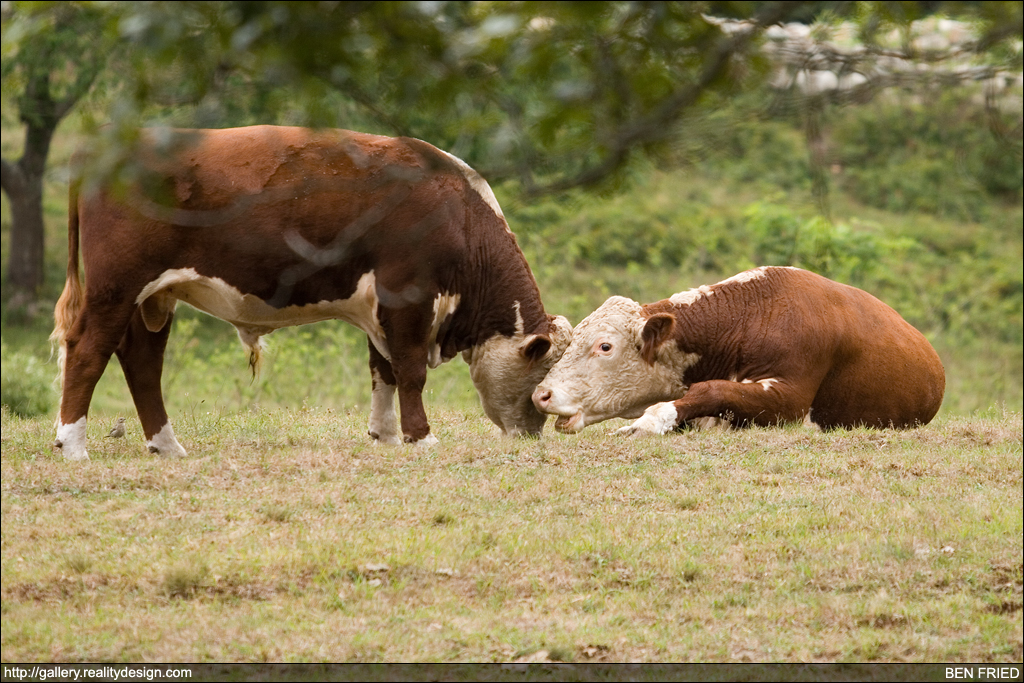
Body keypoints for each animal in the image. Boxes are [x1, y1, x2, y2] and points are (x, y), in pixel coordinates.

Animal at [51, 125, 573, 462]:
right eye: (539, 378)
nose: (533, 436)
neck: (457, 215)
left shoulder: (378, 307)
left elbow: (383, 369)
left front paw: (384, 434)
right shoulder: (407, 295)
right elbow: (409, 370)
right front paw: (420, 437)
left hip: (154, 297)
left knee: (142, 361)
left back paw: (166, 445)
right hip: (116, 288)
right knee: (88, 350)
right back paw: (72, 445)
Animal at [536, 264, 942, 436]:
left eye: (605, 346)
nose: (541, 394)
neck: (750, 316)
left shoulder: (789, 399)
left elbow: (712, 390)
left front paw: (648, 422)